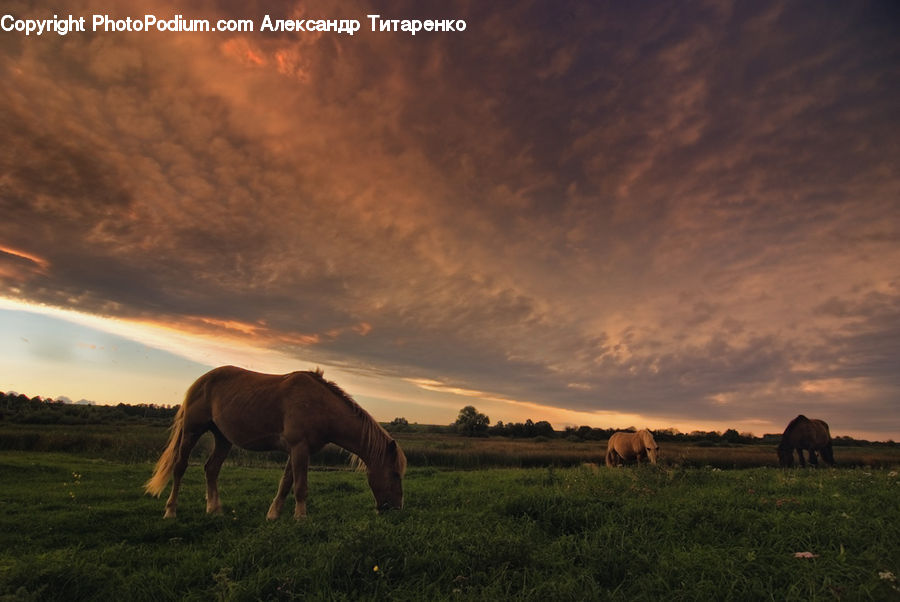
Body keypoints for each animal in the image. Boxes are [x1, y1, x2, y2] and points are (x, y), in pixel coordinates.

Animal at [145, 364, 408, 516]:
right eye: (395, 474)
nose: (395, 508)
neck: (320, 406)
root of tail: (201, 381)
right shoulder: (299, 448)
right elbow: (300, 487)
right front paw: (301, 519)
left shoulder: (298, 450)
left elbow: (286, 482)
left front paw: (273, 515)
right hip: (192, 431)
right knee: (180, 467)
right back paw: (171, 511)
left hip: (223, 438)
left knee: (211, 469)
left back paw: (214, 510)